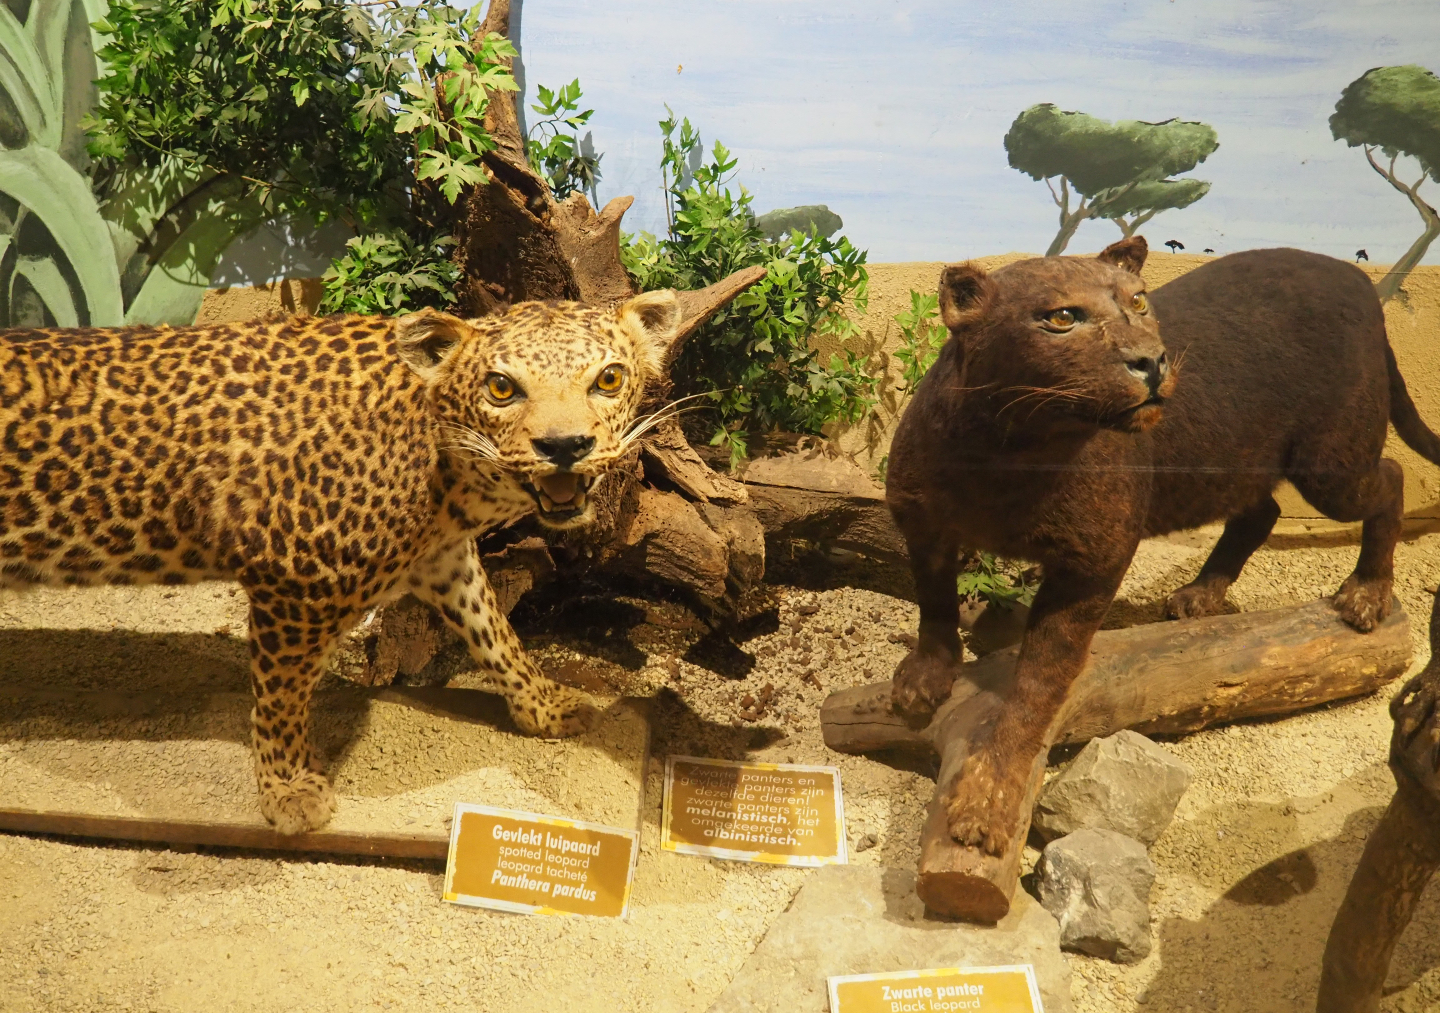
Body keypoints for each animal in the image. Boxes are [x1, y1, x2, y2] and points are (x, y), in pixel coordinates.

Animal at [0, 290, 683, 833]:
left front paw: (542, 703)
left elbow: (494, 628)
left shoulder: (443, 557)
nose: (565, 447)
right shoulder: (290, 587)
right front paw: (286, 793)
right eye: (501, 388)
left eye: (609, 379)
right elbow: (280, 699)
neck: (448, 472)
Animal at [884, 236, 1440, 857]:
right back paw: (1200, 595)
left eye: (1139, 301)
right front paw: (924, 678)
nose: (1152, 361)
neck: (1009, 450)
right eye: (1062, 317)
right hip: (1243, 462)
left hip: (1330, 466)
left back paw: (1366, 593)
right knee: (1262, 512)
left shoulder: (1090, 563)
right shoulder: (921, 524)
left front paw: (988, 801)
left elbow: (1036, 683)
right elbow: (934, 604)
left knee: (1391, 477)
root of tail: (1358, 280)